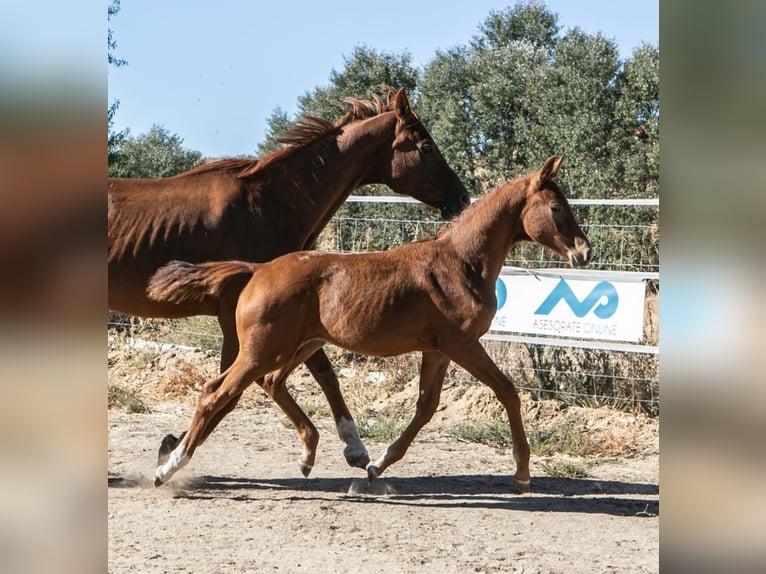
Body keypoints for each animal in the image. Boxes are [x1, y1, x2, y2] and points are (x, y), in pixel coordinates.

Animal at [108, 87, 470, 473]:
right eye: (426, 147)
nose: (461, 198)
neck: (268, 204)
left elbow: (319, 373)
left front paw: (353, 447)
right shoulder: (241, 317)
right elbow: (235, 390)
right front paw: (173, 451)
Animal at [147, 156, 592, 491]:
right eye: (556, 208)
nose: (584, 253)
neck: (461, 263)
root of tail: (258, 270)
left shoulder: (437, 351)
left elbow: (426, 408)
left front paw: (377, 466)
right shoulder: (462, 345)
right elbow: (508, 392)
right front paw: (522, 473)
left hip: (299, 345)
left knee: (271, 382)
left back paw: (309, 455)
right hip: (263, 349)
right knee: (215, 392)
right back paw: (167, 468)